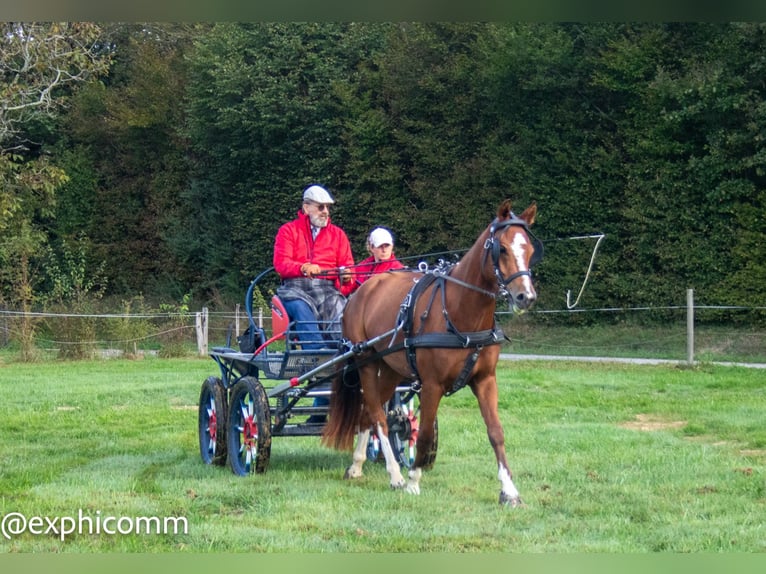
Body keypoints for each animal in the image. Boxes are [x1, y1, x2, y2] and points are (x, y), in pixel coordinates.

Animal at [320, 200, 544, 506]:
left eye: (530, 250)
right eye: (503, 249)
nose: (526, 297)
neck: (461, 313)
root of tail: (362, 290)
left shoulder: (486, 380)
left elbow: (496, 432)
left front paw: (509, 490)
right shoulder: (432, 384)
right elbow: (424, 433)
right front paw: (414, 480)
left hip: (390, 367)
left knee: (368, 411)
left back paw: (356, 465)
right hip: (365, 362)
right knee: (378, 415)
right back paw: (395, 474)